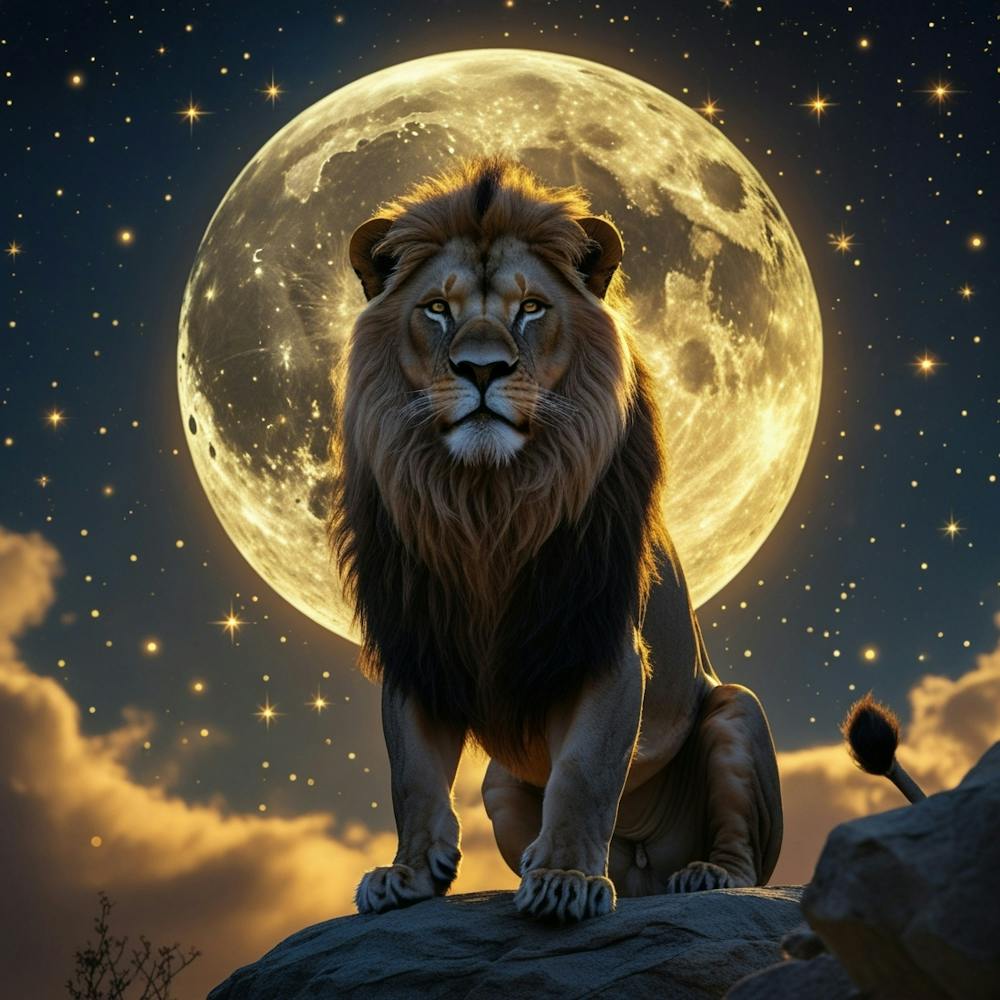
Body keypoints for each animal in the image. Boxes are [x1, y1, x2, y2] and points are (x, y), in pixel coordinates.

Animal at [328, 153, 783, 923]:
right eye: (438, 308)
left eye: (531, 308)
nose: (482, 369)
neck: (485, 503)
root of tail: (644, 868)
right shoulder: (418, 641)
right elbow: (412, 777)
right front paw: (409, 873)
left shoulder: (600, 640)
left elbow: (585, 771)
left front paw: (567, 878)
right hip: (500, 786)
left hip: (736, 711)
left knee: (741, 853)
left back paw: (702, 876)